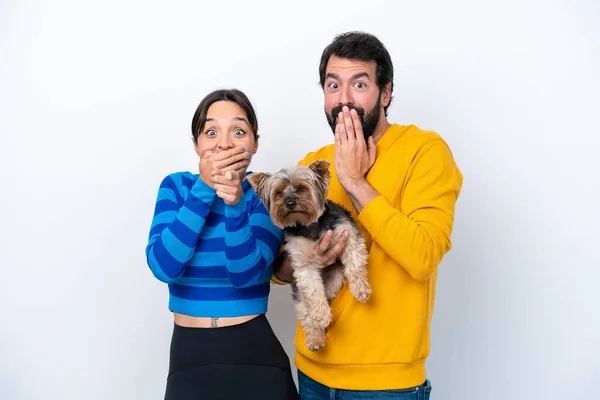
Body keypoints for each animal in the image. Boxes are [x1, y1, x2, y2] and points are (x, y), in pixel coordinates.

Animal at [245, 159, 368, 350]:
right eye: (279, 192)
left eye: (301, 188)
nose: (290, 203)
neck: (309, 226)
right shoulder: (303, 264)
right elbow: (313, 292)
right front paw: (321, 315)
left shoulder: (347, 235)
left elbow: (355, 265)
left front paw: (361, 290)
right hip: (300, 294)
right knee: (306, 313)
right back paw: (315, 339)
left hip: (334, 280)